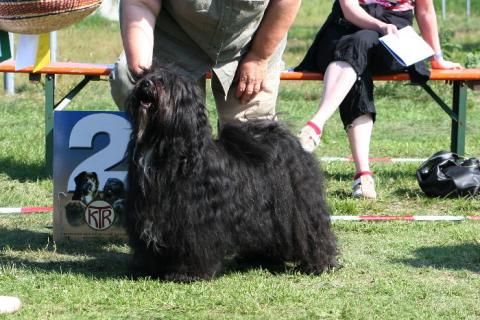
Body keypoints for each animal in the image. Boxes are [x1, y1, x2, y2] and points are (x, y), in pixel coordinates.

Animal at [127, 65, 338, 282]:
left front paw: (186, 273)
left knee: (313, 232)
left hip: (300, 207)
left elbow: (193, 247)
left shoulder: (194, 221)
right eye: (147, 76)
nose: (146, 83)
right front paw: (149, 268)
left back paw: (319, 263)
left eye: (166, 83)